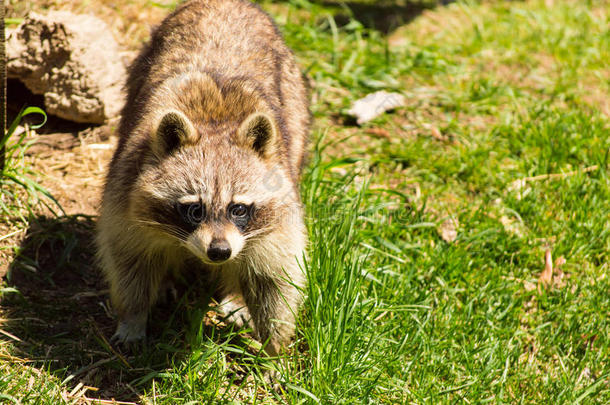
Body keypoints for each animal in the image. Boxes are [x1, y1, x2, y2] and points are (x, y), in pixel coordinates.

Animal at [100, 0, 312, 354]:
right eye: (194, 209)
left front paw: (274, 346)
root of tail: (227, 2)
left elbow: (274, 278)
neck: (214, 121)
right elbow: (130, 259)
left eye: (238, 208)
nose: (219, 252)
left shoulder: (279, 217)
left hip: (296, 103)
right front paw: (134, 316)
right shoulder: (125, 192)